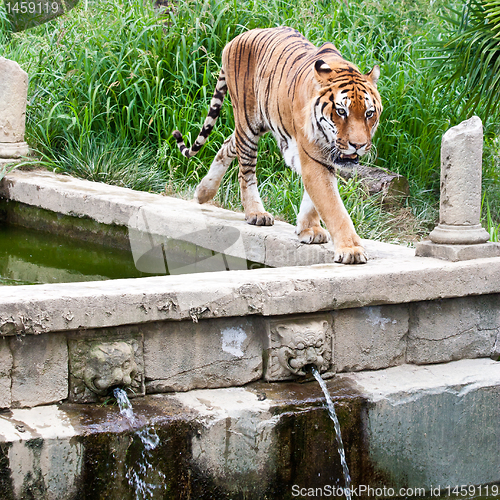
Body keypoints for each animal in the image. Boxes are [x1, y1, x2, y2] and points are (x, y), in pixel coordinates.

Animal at [173, 25, 382, 264]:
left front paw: (308, 229)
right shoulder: (314, 157)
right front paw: (351, 250)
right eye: (341, 111)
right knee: (245, 172)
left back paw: (203, 192)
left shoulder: (322, 158)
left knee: (228, 143)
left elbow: (313, 200)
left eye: (369, 113)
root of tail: (236, 38)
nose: (358, 145)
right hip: (248, 123)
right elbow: (333, 207)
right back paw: (255, 213)